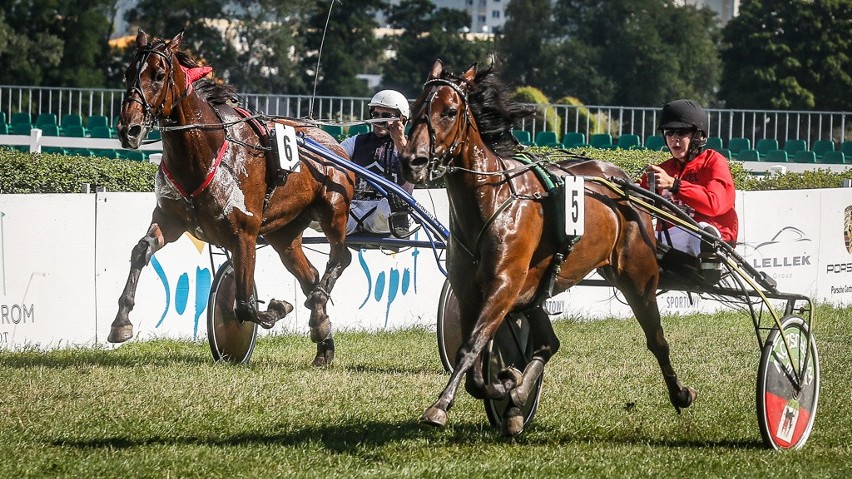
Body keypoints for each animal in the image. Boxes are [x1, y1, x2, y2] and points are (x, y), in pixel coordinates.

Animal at [111, 31, 354, 368]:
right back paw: (323, 339)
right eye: (127, 73)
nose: (128, 130)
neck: (206, 149)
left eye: (159, 75)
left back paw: (318, 310)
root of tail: (332, 140)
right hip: (284, 234)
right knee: (311, 275)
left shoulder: (245, 234)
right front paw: (121, 322)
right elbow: (140, 251)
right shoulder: (169, 219)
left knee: (341, 258)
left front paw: (276, 309)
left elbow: (244, 305)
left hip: (333, 210)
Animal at [402, 60, 696, 436]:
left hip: (637, 275)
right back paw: (516, 403)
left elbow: (470, 349)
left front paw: (441, 406)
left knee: (656, 338)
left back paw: (680, 393)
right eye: (415, 109)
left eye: (450, 111)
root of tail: (624, 181)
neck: (493, 199)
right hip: (536, 288)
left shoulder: (503, 286)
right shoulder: (470, 291)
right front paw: (507, 384)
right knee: (548, 343)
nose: (412, 160)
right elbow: (476, 367)